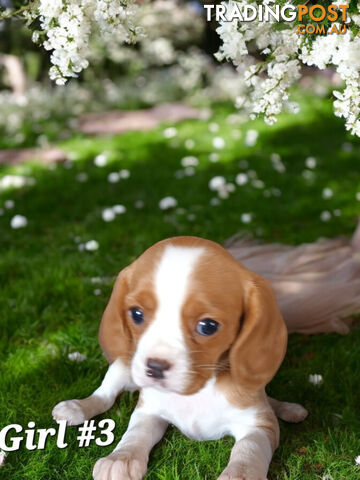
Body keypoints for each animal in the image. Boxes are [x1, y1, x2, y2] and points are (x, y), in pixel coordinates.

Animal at [52, 236, 306, 480]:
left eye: (208, 326)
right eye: (136, 314)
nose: (155, 367)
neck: (197, 392)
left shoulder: (258, 425)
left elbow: (248, 450)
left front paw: (240, 475)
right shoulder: (149, 411)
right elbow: (135, 433)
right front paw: (121, 458)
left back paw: (288, 409)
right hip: (122, 367)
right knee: (105, 396)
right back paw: (78, 407)